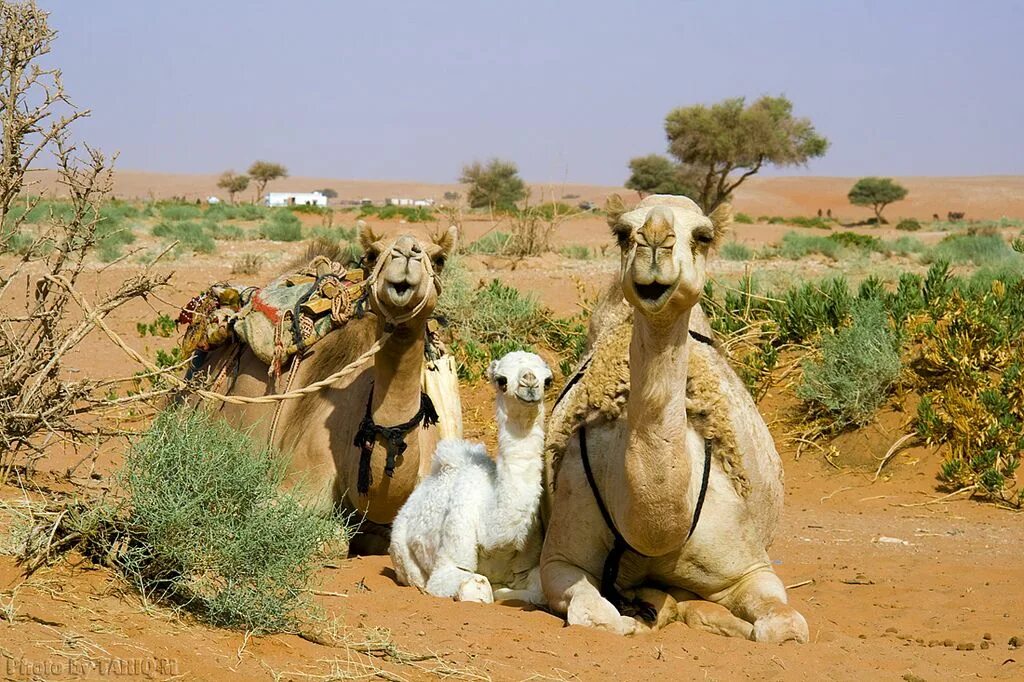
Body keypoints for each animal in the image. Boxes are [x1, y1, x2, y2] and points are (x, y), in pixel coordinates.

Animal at [389, 350, 552, 602]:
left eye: (548, 380)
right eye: (502, 380)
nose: (530, 382)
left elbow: (538, 591)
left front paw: (505, 592)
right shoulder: (455, 547)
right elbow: (475, 587)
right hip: (400, 549)